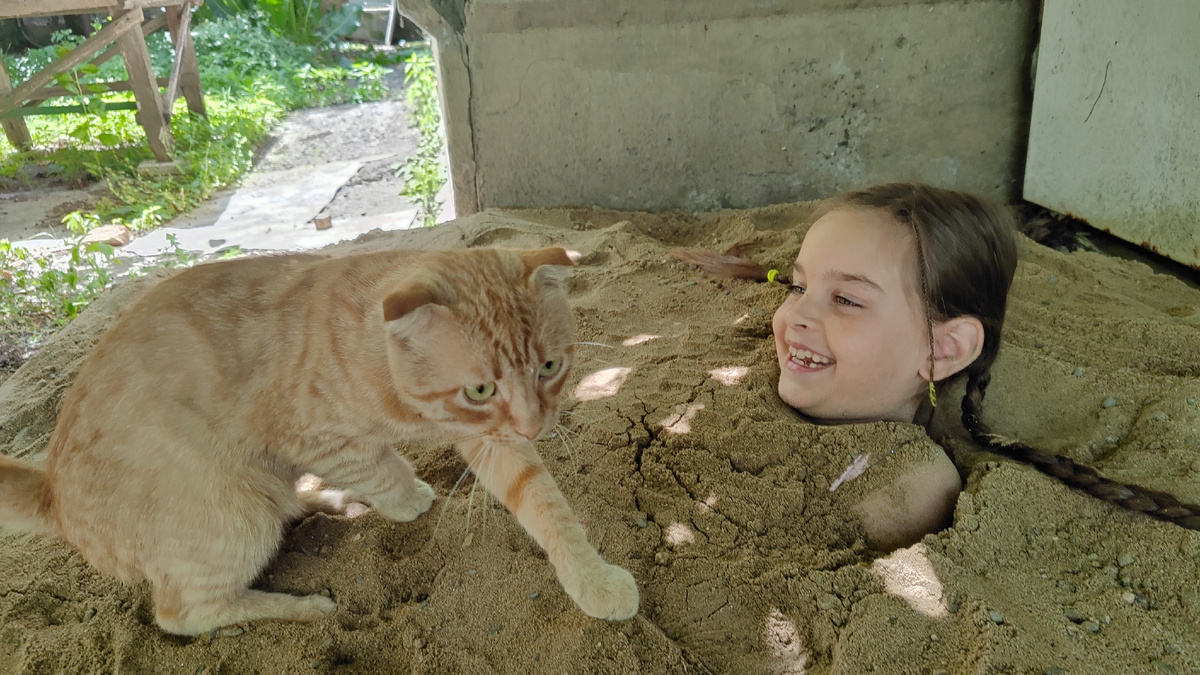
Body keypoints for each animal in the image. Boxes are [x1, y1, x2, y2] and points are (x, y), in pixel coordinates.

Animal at [0, 246, 638, 629]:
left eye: (550, 367)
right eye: (480, 388)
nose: (538, 425)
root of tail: (52, 494)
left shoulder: (494, 438)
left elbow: (546, 506)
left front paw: (593, 580)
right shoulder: (314, 439)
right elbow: (380, 464)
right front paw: (409, 499)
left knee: (284, 507)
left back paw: (327, 501)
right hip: (233, 514)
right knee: (182, 614)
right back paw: (302, 607)